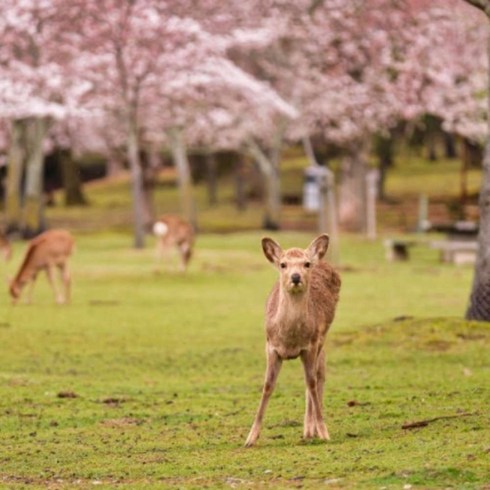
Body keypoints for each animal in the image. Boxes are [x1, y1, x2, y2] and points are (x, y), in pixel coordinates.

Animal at [244, 234, 340, 448]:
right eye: (283, 264)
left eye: (306, 264)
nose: (296, 277)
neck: (290, 339)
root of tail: (323, 260)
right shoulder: (270, 346)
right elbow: (268, 385)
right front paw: (250, 438)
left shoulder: (311, 345)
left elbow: (311, 382)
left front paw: (324, 432)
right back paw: (308, 431)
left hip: (323, 338)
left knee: (319, 375)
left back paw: (310, 430)